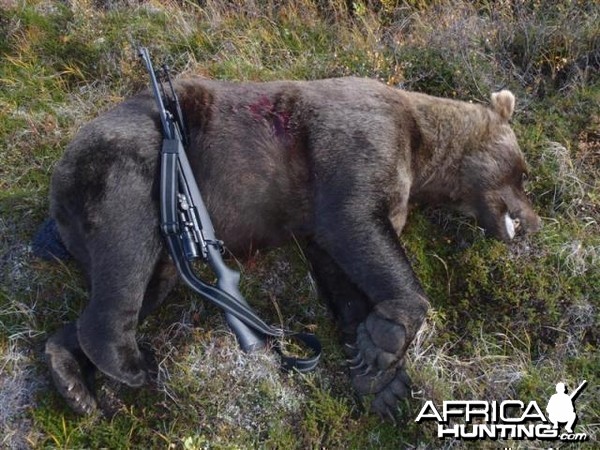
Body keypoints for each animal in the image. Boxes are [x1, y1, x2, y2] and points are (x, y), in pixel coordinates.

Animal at [44, 77, 540, 418]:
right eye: (522, 173)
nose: (534, 222)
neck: (422, 150)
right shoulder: (362, 138)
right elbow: (356, 222)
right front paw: (391, 338)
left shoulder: (330, 211)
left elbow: (341, 271)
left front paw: (379, 373)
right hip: (126, 166)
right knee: (127, 251)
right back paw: (130, 364)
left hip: (151, 239)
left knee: (147, 282)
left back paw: (71, 378)